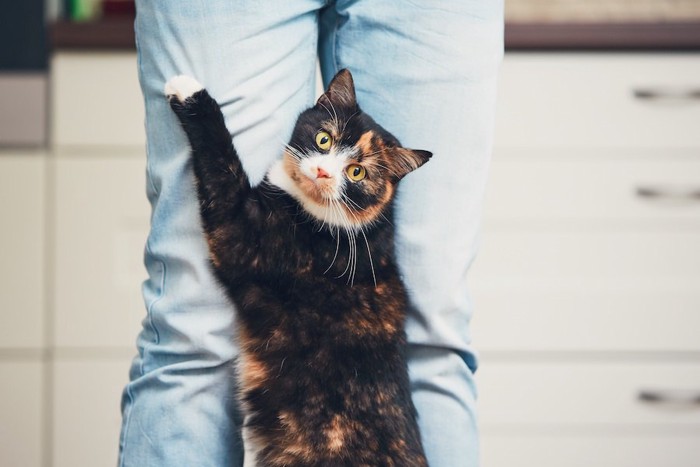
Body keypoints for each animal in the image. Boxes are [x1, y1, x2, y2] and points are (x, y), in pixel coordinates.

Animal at [165, 69, 432, 467]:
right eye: (324, 138)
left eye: (357, 172)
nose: (323, 171)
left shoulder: (243, 237)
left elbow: (222, 161)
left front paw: (190, 92)